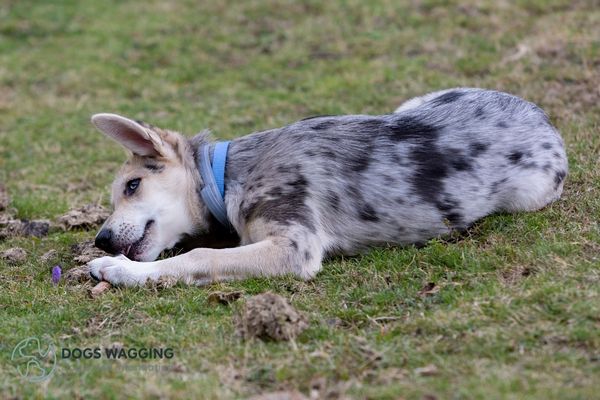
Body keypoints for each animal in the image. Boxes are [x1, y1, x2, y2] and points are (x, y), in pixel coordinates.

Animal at [88, 89, 568, 286]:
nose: (101, 239)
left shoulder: (294, 247)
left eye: (132, 185)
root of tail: (539, 114)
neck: (227, 176)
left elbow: (199, 255)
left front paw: (118, 269)